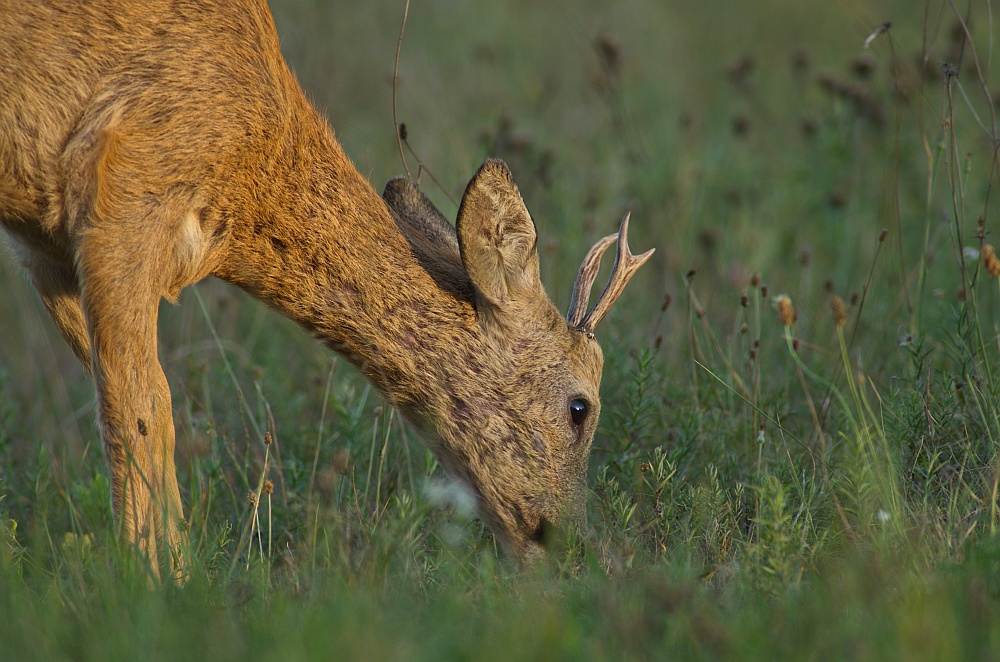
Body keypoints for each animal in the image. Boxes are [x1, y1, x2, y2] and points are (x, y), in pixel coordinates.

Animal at [0, 0, 652, 580]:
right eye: (580, 407)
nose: (568, 546)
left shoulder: (47, 251)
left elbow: (123, 406)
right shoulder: (126, 201)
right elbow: (145, 415)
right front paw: (164, 586)